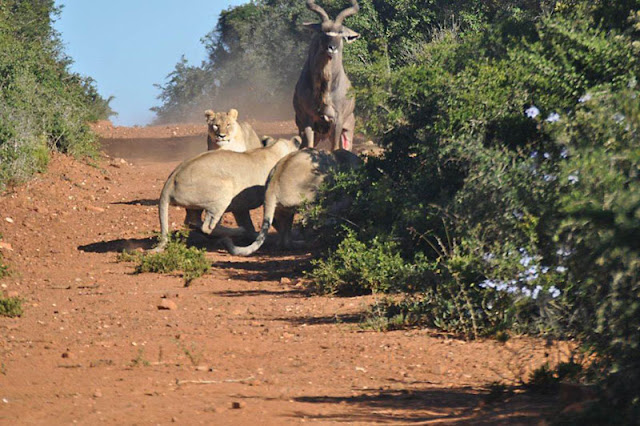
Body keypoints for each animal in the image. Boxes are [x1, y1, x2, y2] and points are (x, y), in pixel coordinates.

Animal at [155, 136, 304, 251]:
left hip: (194, 206)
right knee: (207, 227)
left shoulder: (240, 206)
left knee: (192, 222)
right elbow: (279, 223)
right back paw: (238, 231)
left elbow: (251, 223)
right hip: (224, 189)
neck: (273, 148)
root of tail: (171, 180)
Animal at [221, 149, 360, 256]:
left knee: (284, 238)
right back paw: (309, 243)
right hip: (309, 200)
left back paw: (295, 243)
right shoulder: (340, 200)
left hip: (285, 210)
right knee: (306, 223)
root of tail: (272, 185)